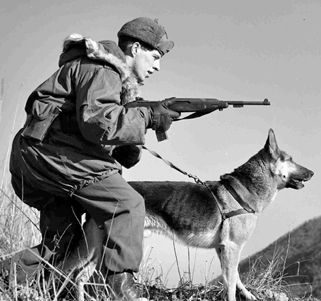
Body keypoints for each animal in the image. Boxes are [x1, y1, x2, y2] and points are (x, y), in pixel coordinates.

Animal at [60, 127, 312, 298]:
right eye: (290, 159)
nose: (312, 173)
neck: (244, 188)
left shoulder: (224, 250)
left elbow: (236, 279)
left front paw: (249, 296)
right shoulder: (232, 248)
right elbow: (231, 284)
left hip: (96, 248)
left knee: (79, 277)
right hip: (105, 247)